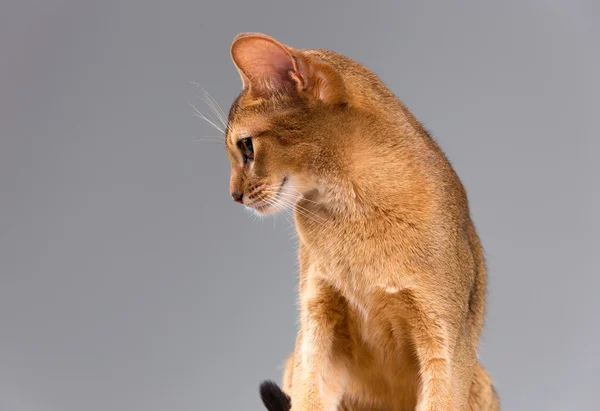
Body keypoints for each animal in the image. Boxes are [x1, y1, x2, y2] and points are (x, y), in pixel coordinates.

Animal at [223, 33, 500, 411]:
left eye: (247, 148)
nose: (233, 195)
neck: (352, 207)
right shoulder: (317, 322)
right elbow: (309, 397)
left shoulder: (444, 339)